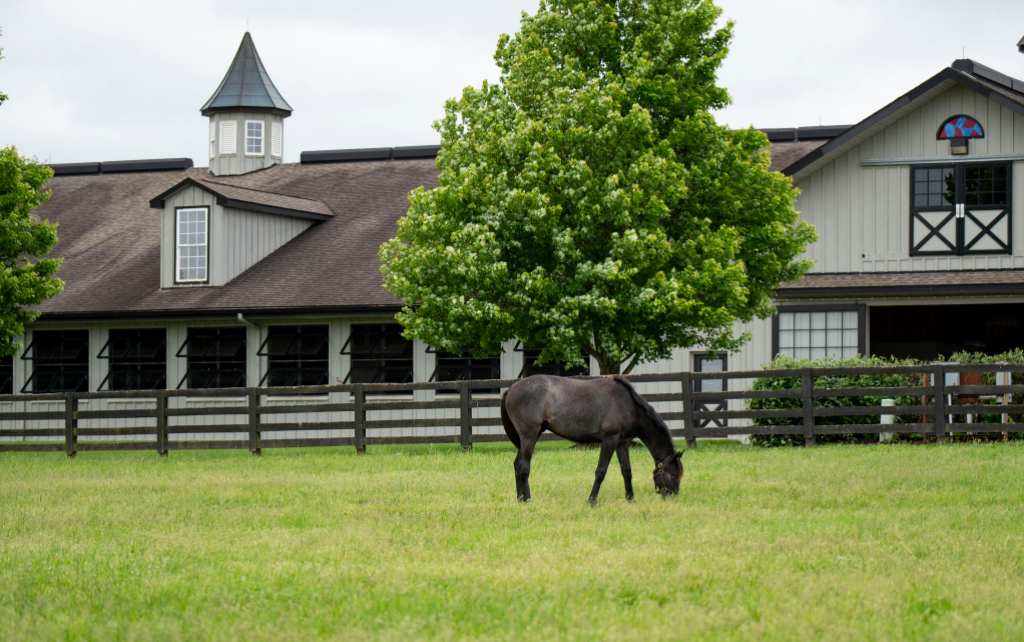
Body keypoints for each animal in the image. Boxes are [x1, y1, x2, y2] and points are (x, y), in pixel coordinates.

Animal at [500, 375, 683, 503]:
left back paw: (520, 498)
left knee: (517, 464)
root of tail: (511, 388)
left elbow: (627, 471)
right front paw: (592, 501)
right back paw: (527, 499)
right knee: (524, 466)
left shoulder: (622, 442)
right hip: (529, 435)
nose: (673, 497)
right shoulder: (609, 439)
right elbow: (601, 471)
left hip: (530, 436)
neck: (628, 404)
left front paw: (630, 499)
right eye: (673, 475)